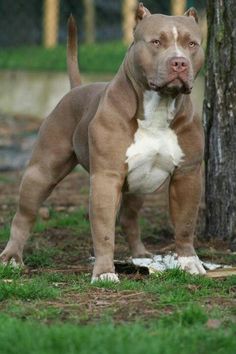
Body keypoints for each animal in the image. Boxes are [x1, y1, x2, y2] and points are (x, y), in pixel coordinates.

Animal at [0, 4, 206, 282]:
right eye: (156, 42)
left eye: (192, 44)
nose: (179, 62)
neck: (159, 109)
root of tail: (76, 89)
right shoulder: (106, 178)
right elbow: (104, 230)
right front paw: (105, 272)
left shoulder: (188, 175)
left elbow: (185, 223)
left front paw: (189, 262)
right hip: (41, 172)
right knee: (24, 215)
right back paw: (12, 257)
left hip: (139, 185)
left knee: (129, 218)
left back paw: (140, 255)